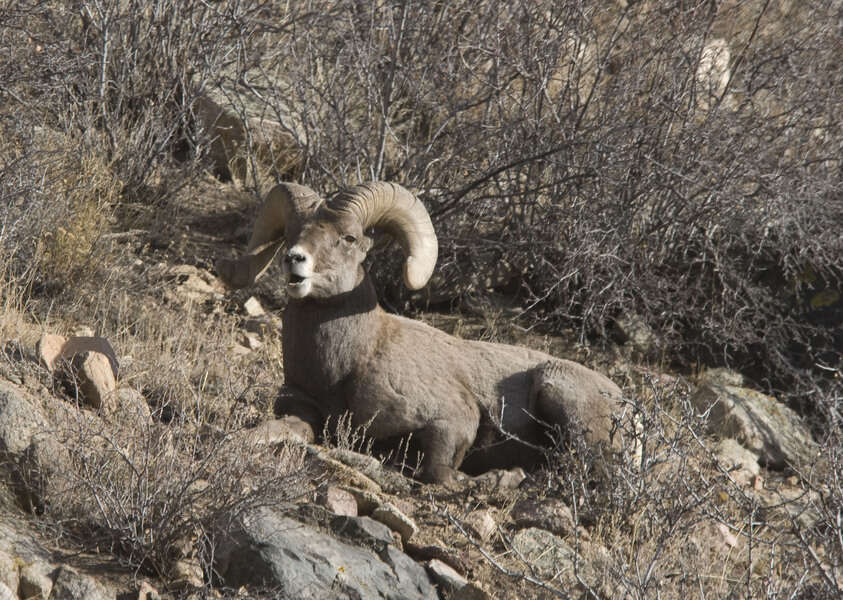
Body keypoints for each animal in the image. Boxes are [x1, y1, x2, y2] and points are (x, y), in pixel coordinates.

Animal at [218, 182, 628, 482]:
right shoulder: (304, 411)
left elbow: (439, 473)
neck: (347, 366)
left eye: (348, 238)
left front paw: (496, 479)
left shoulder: (452, 420)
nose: (295, 261)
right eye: (290, 233)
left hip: (555, 390)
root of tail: (627, 406)